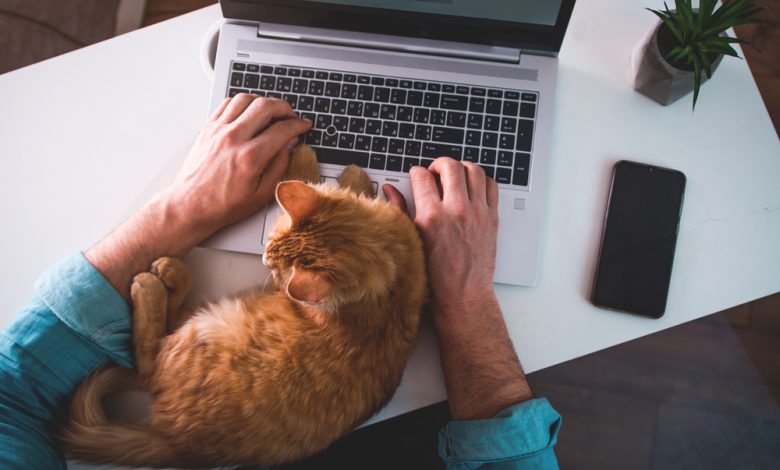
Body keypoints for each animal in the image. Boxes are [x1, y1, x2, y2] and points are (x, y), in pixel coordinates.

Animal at [60, 145, 426, 468]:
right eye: (270, 247)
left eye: (275, 270)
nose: (264, 260)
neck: (391, 283)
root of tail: (176, 442)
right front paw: (349, 174)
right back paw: (171, 273)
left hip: (210, 326)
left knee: (148, 357)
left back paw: (155, 282)